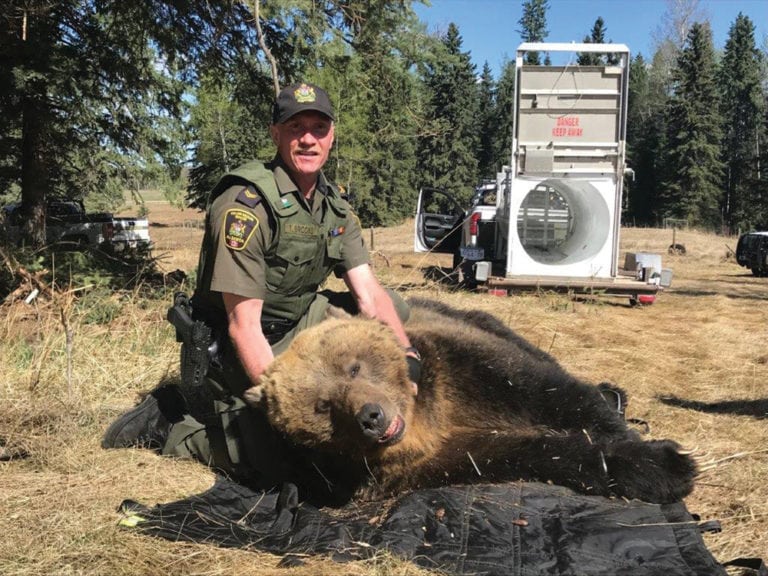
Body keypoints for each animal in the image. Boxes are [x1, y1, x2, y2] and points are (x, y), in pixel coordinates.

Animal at [243, 298, 697, 506]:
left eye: (353, 367)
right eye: (322, 405)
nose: (371, 416)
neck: (424, 420)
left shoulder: (458, 370)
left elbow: (553, 394)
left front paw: (663, 457)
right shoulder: (429, 458)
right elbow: (519, 452)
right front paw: (659, 466)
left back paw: (613, 393)